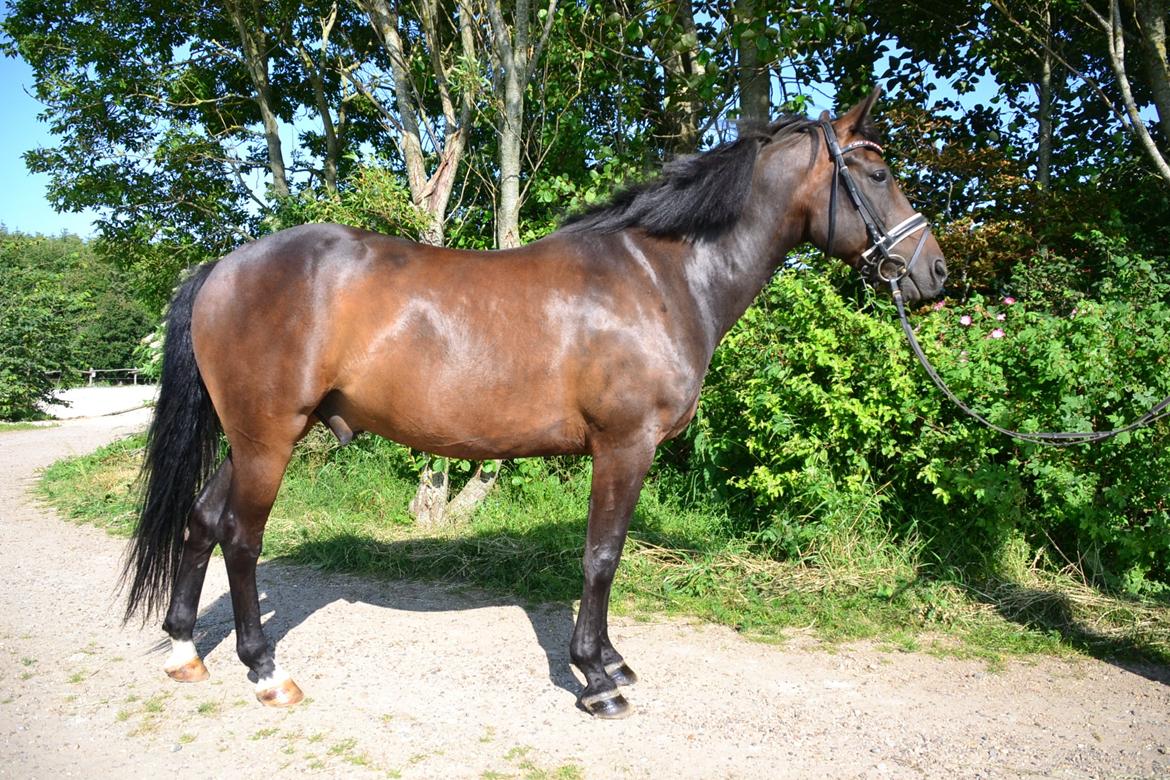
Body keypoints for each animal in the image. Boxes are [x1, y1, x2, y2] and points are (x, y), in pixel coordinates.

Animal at [123, 90, 947, 719]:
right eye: (878, 171)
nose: (934, 274)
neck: (661, 276)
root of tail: (223, 267)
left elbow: (605, 556)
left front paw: (611, 659)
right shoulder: (624, 445)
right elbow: (602, 556)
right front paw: (596, 679)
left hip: (249, 439)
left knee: (201, 521)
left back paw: (185, 651)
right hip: (269, 439)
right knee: (240, 538)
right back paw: (266, 672)